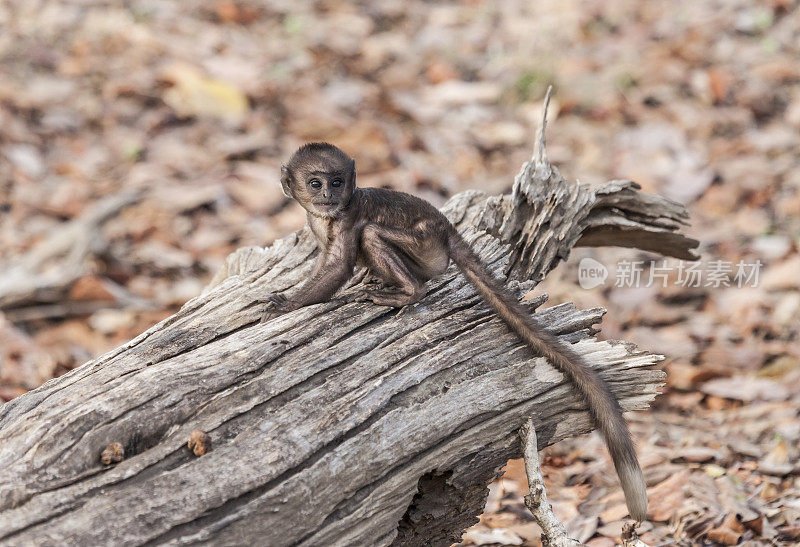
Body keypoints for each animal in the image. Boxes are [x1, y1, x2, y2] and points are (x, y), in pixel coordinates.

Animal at [262, 142, 648, 524]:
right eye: (316, 184)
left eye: (338, 182)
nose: (329, 194)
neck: (330, 214)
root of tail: (448, 230)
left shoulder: (347, 219)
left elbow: (340, 264)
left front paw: (286, 304)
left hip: (425, 246)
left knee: (374, 235)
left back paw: (407, 292)